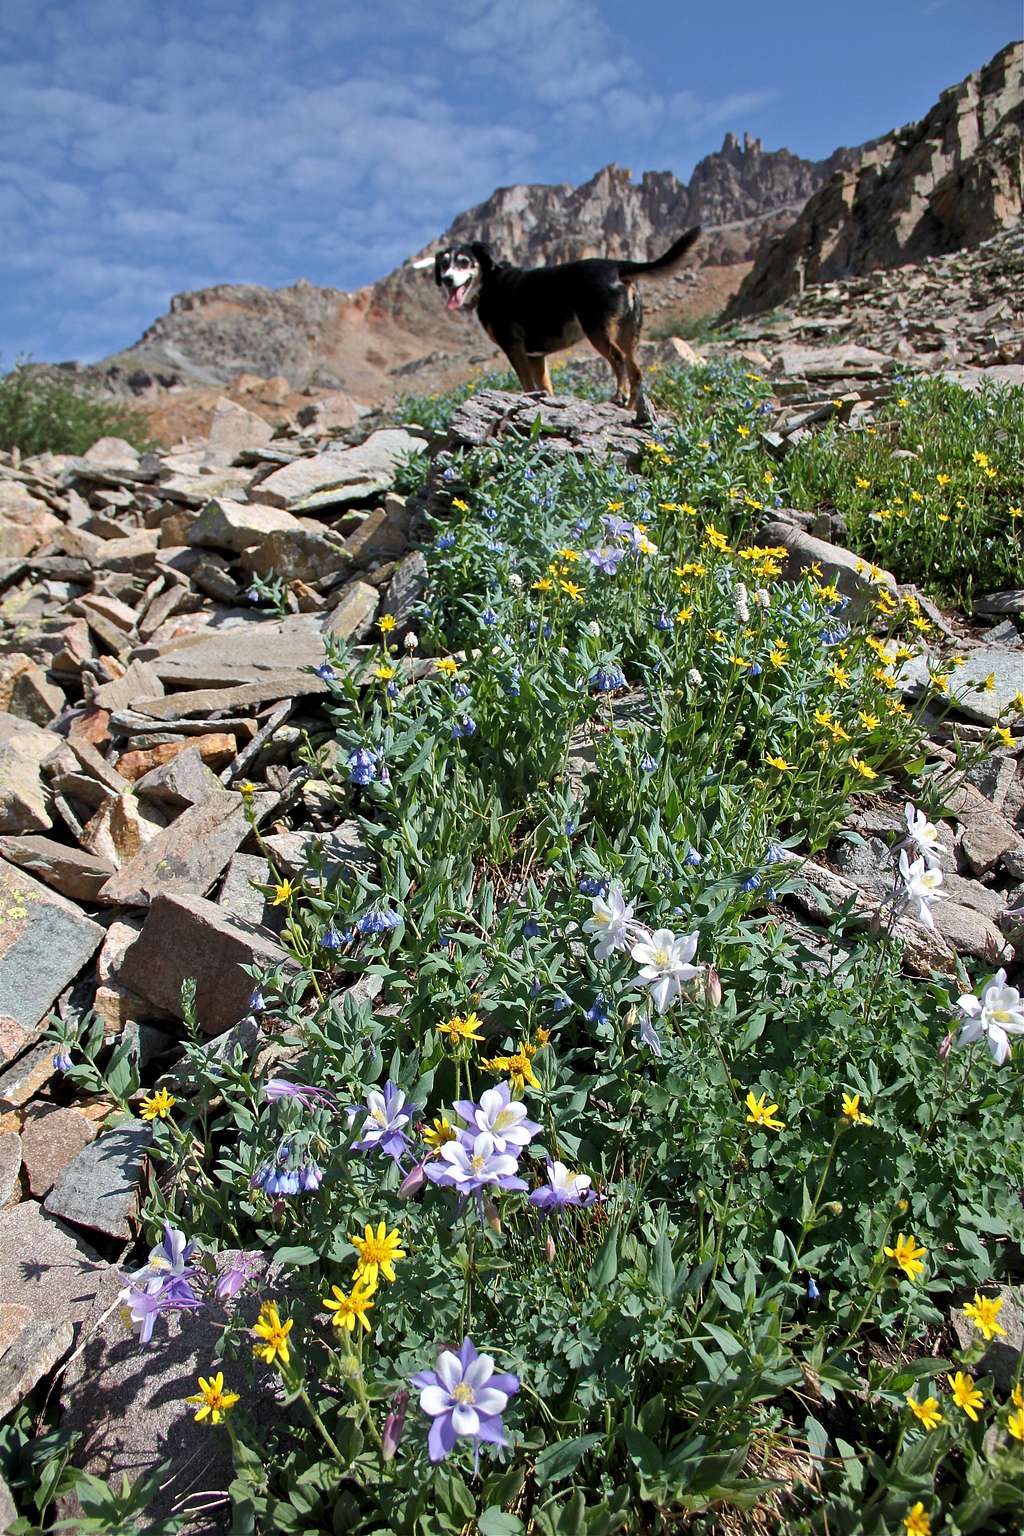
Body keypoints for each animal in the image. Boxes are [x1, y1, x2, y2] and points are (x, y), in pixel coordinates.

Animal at [436, 224, 700, 417]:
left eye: (464, 262)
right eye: (443, 264)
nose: (447, 279)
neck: (489, 282)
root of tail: (617, 266)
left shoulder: (513, 346)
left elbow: (527, 384)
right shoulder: (536, 356)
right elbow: (544, 386)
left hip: (597, 328)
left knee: (617, 359)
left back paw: (619, 396)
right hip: (628, 334)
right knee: (635, 370)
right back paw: (629, 407)